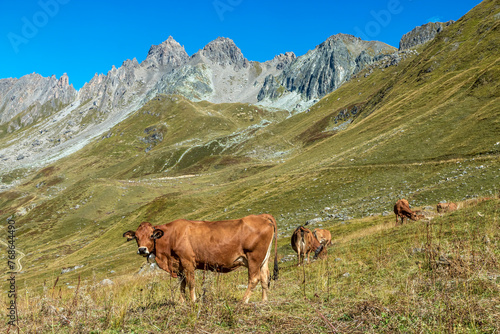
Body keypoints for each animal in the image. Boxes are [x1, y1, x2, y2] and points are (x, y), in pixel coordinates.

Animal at [121, 214, 278, 302]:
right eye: (136, 237)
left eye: (151, 236)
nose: (142, 249)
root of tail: (262, 216)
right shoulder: (179, 265)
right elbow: (182, 284)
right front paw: (181, 302)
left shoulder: (187, 261)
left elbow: (190, 283)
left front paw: (193, 301)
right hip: (263, 259)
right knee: (265, 277)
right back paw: (264, 301)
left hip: (254, 258)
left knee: (254, 278)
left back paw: (244, 301)